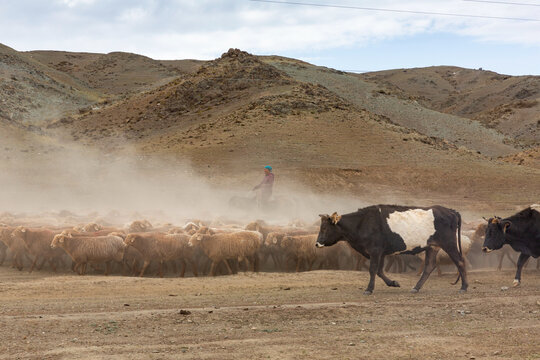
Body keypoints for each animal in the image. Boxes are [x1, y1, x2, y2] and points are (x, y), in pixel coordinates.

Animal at [316, 205, 468, 296]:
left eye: (324, 228)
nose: (317, 243)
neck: (363, 223)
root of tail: (450, 211)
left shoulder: (375, 251)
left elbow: (373, 270)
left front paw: (369, 289)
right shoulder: (381, 253)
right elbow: (379, 271)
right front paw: (393, 283)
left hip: (449, 243)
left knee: (460, 262)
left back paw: (464, 287)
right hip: (432, 247)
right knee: (429, 266)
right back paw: (416, 287)